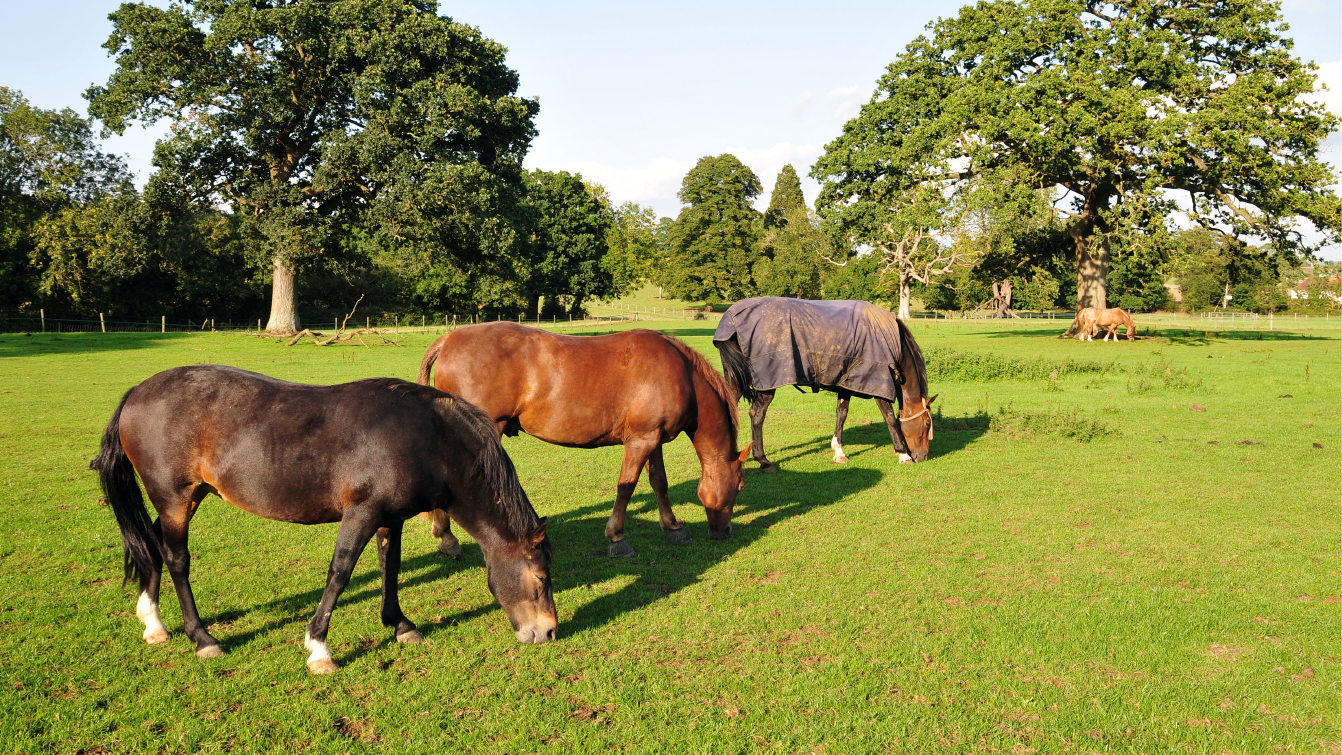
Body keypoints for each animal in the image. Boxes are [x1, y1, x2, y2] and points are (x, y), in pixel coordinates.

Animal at [90, 364, 550, 673]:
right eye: (541, 578)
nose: (548, 633)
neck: (426, 438)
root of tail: (138, 390)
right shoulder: (361, 512)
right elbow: (340, 573)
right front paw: (319, 648)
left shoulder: (390, 517)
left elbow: (390, 567)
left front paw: (400, 625)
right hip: (174, 499)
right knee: (176, 559)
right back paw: (202, 637)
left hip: (187, 498)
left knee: (151, 544)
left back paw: (153, 622)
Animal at [418, 321, 751, 557]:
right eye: (740, 486)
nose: (725, 531)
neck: (681, 373)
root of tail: (448, 340)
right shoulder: (640, 441)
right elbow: (626, 486)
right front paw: (617, 537)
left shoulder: (652, 439)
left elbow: (659, 482)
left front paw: (672, 527)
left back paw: (446, 537)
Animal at [713, 296, 934, 469]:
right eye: (926, 423)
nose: (923, 456)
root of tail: (731, 317)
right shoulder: (878, 381)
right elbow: (889, 418)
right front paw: (903, 454)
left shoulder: (847, 381)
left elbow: (841, 414)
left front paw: (839, 452)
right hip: (768, 382)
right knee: (757, 415)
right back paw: (763, 460)